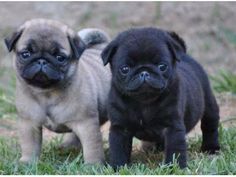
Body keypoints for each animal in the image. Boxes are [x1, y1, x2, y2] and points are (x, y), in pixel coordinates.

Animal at [4, 18, 111, 164]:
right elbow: (29, 146)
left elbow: (92, 148)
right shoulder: (29, 123)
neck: (47, 93)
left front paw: (93, 165)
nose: (42, 61)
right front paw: (27, 162)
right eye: (26, 54)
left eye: (60, 57)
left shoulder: (86, 124)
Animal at [101, 27, 221, 169]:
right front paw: (118, 168)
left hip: (208, 104)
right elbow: (118, 150)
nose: (144, 72)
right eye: (125, 69)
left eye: (162, 66)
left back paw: (211, 148)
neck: (144, 102)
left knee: (210, 126)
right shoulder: (120, 129)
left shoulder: (172, 127)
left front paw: (175, 168)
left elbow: (175, 150)